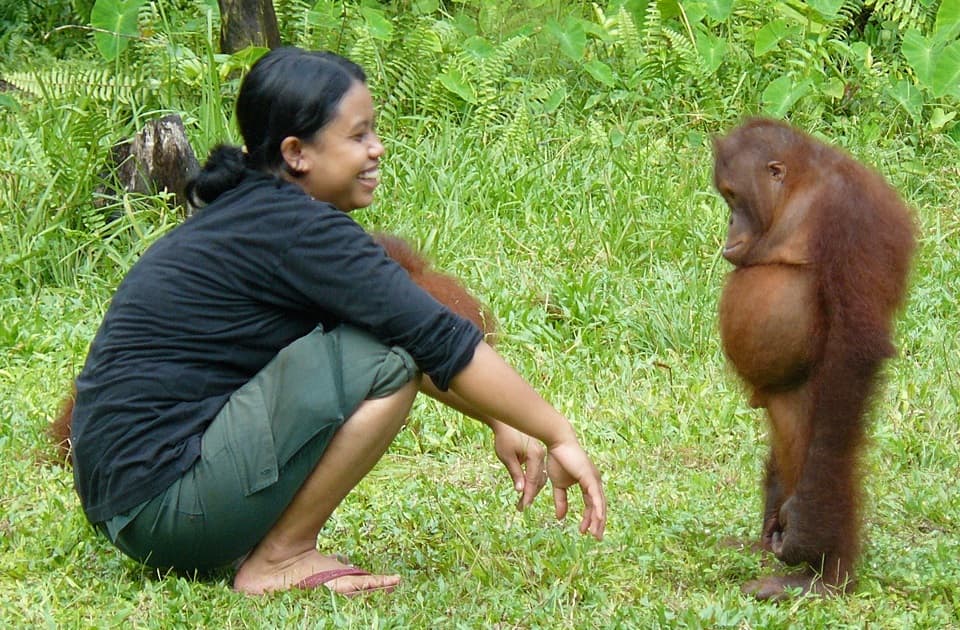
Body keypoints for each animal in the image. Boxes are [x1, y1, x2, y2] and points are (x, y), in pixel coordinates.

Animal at [713, 118, 916, 600]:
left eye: (732, 196)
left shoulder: (849, 217)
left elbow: (857, 343)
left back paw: (822, 577)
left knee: (828, 447)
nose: (728, 222)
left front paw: (806, 532)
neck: (800, 191)